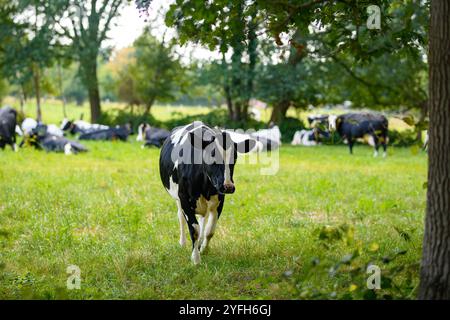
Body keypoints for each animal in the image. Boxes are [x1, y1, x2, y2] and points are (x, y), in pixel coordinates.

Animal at [160, 121, 255, 264]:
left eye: (235, 158)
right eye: (212, 155)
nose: (228, 186)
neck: (205, 186)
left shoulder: (220, 200)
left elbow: (209, 230)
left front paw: (203, 249)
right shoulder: (184, 198)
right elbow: (194, 229)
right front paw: (196, 259)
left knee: (202, 220)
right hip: (177, 198)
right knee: (181, 217)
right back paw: (182, 243)